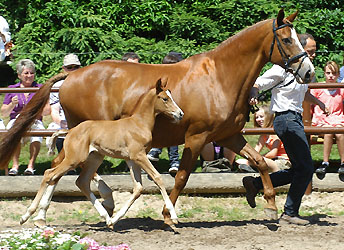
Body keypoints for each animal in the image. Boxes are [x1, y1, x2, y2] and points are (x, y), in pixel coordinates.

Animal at [20, 79, 184, 229]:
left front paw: (115, 219)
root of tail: (70, 131)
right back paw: (26, 215)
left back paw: (107, 218)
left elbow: (138, 188)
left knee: (81, 182)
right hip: (74, 159)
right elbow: (157, 178)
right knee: (50, 174)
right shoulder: (139, 156)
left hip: (94, 158)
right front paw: (174, 216)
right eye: (165, 98)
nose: (180, 114)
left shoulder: (131, 159)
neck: (139, 124)